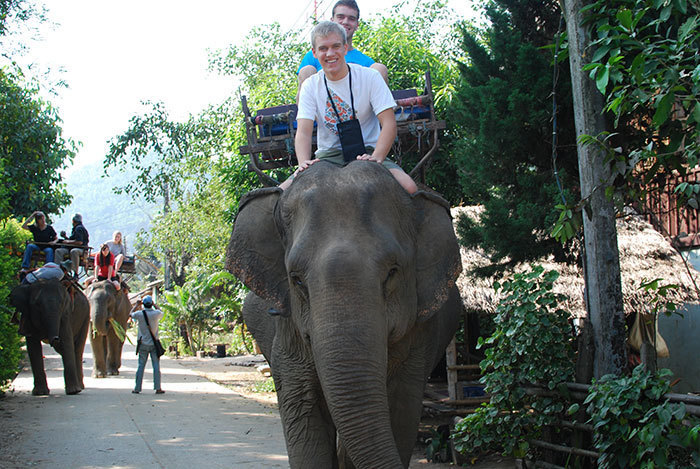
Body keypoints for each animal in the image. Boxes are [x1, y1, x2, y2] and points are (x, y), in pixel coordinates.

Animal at [227, 162, 462, 468]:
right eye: (296, 280)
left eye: (392, 272)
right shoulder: (288, 332)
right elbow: (303, 414)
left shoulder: (417, 338)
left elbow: (401, 412)